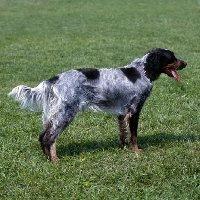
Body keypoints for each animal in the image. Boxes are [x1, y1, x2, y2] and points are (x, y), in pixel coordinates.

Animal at [7, 48, 186, 162]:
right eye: (172, 57)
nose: (185, 63)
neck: (143, 71)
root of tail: (54, 79)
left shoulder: (122, 113)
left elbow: (123, 132)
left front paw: (124, 147)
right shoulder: (134, 110)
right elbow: (134, 134)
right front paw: (136, 150)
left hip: (54, 114)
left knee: (43, 135)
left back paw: (47, 157)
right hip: (65, 113)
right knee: (50, 137)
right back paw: (55, 159)